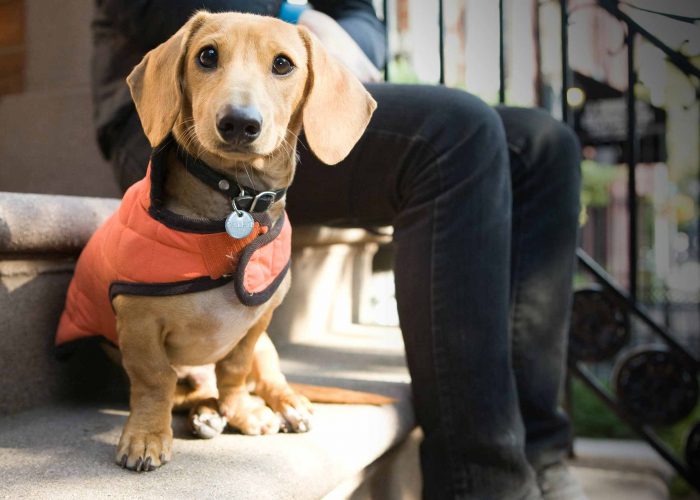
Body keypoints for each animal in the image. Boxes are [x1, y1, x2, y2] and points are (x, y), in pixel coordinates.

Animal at [54, 12, 378, 472]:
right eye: (207, 55)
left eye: (283, 64)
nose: (239, 122)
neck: (234, 200)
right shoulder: (138, 322)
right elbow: (154, 380)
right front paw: (146, 436)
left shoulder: (256, 324)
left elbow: (235, 369)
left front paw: (242, 411)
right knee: (188, 392)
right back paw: (206, 415)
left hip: (268, 349)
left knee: (267, 378)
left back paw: (284, 404)